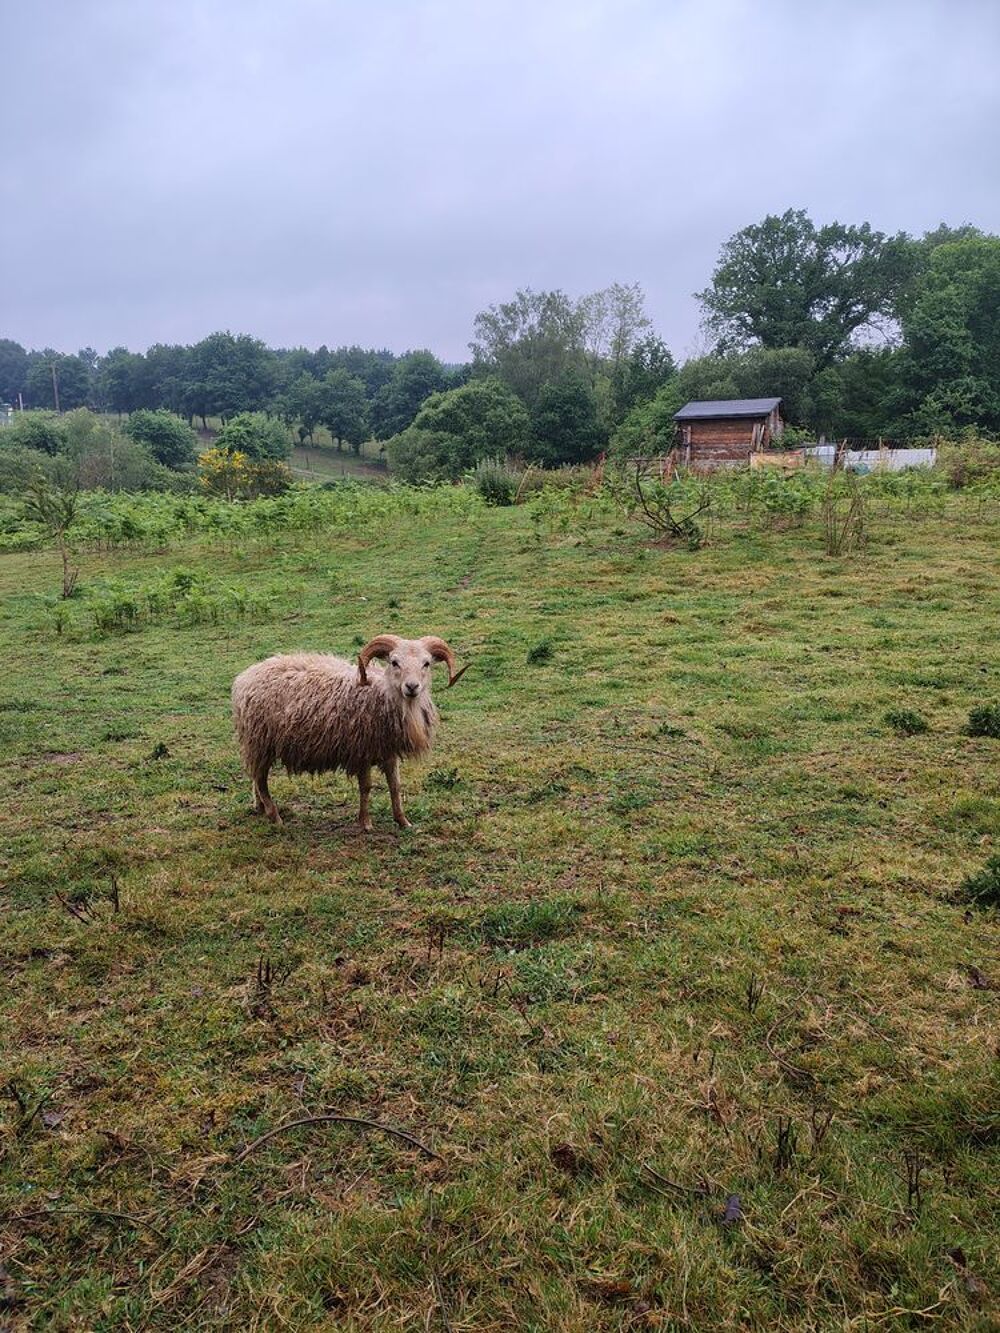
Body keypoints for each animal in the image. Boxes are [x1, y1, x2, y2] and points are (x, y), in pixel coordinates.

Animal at [231, 634, 468, 829]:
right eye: (394, 662)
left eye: (426, 663)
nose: (412, 687)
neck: (378, 693)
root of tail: (244, 677)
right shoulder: (361, 751)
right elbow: (366, 787)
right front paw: (365, 823)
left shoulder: (389, 752)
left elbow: (395, 786)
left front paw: (403, 821)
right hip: (260, 741)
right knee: (261, 780)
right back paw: (274, 816)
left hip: (258, 745)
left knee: (255, 777)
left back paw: (260, 808)